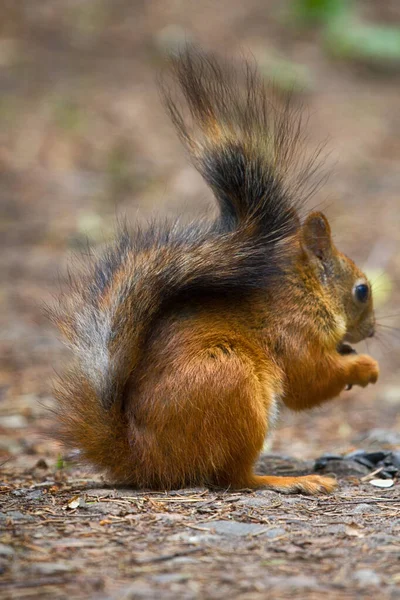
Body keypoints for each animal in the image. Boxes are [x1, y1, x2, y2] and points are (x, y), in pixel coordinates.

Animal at [50, 49, 378, 494]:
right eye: (362, 290)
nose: (373, 331)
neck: (304, 290)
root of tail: (144, 459)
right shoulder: (294, 333)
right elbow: (308, 379)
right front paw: (365, 368)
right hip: (233, 383)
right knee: (234, 477)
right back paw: (290, 479)